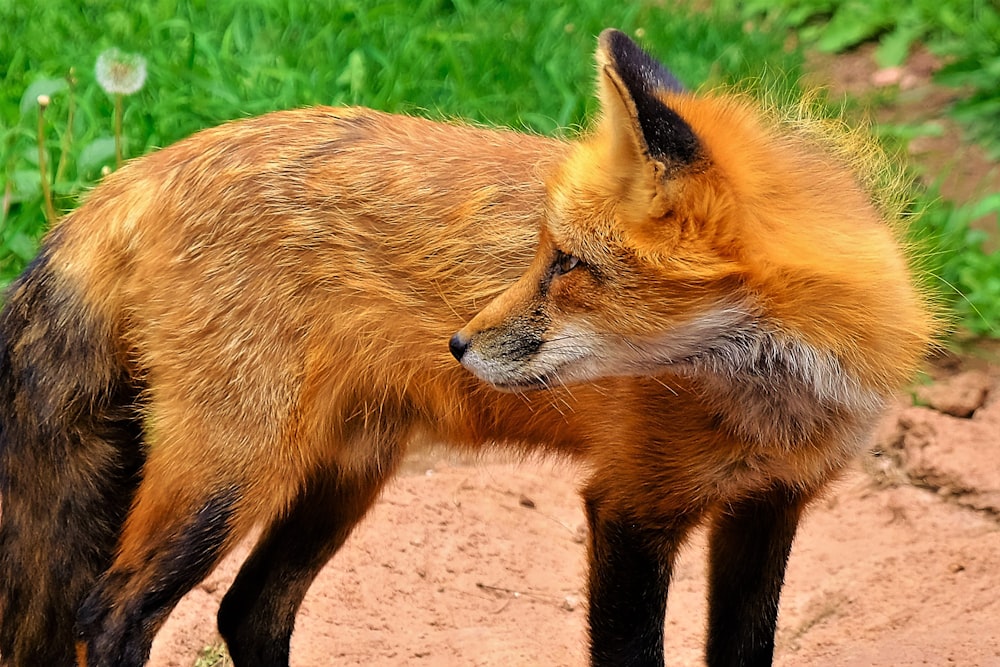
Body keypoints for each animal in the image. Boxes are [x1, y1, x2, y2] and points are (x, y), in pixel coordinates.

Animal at [0, 28, 928, 664]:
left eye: (568, 264)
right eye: (542, 252)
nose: (458, 341)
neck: (774, 404)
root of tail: (134, 174)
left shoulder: (771, 505)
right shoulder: (630, 506)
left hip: (344, 470)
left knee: (250, 611)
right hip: (229, 474)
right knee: (109, 614)